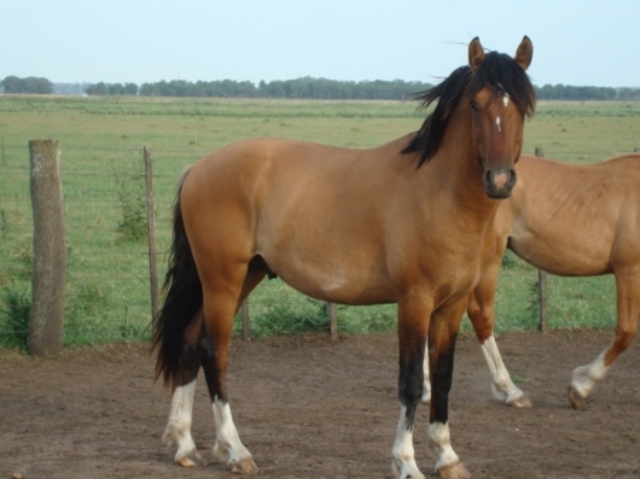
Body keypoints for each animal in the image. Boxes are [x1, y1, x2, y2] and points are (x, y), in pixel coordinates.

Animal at [152, 36, 535, 479]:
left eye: (523, 106)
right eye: (476, 103)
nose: (500, 180)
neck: (440, 193)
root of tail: (198, 169)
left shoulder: (451, 305)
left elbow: (441, 378)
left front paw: (447, 455)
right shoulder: (415, 301)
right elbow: (411, 383)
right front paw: (406, 462)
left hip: (243, 276)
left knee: (190, 343)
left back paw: (183, 444)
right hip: (222, 280)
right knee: (215, 354)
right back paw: (234, 449)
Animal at [421, 152, 640, 410]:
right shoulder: (629, 270)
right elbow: (625, 333)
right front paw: (579, 388)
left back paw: (426, 389)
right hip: (489, 257)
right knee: (480, 315)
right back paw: (509, 389)